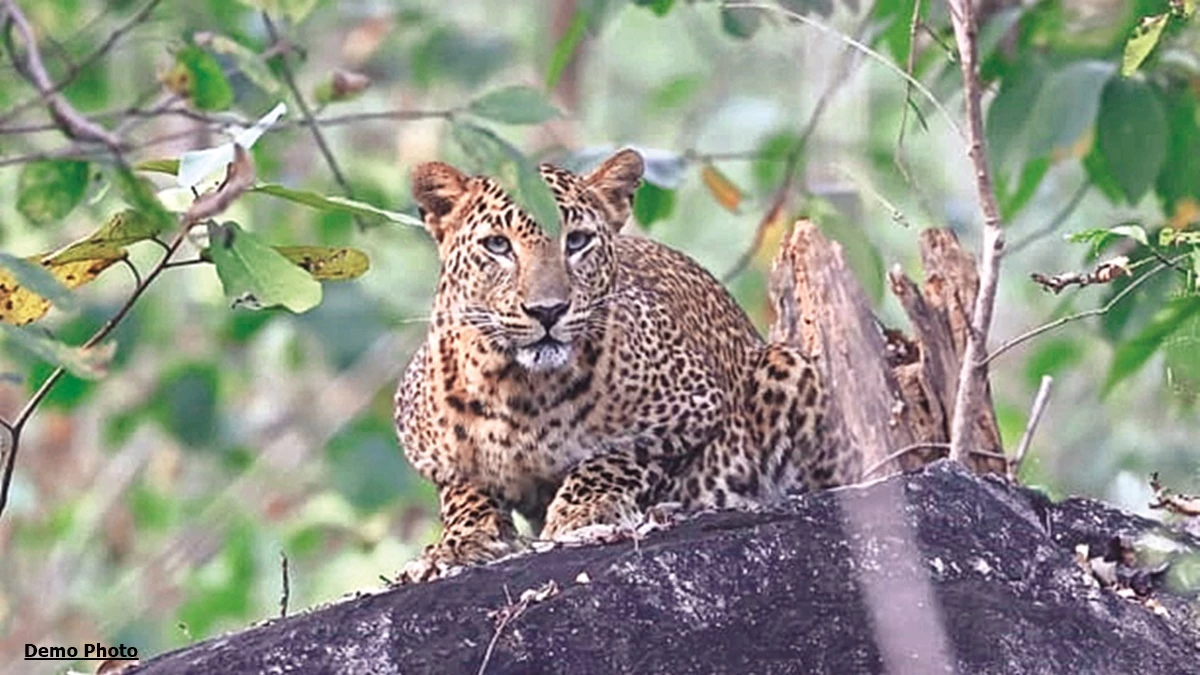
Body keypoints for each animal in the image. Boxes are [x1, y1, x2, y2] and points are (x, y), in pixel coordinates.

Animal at [396, 148, 864, 578]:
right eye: (497, 245)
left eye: (577, 241)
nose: (548, 311)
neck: (520, 392)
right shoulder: (426, 449)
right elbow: (463, 489)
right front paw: (461, 541)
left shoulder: (695, 408)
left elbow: (617, 455)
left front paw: (583, 510)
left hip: (787, 366)